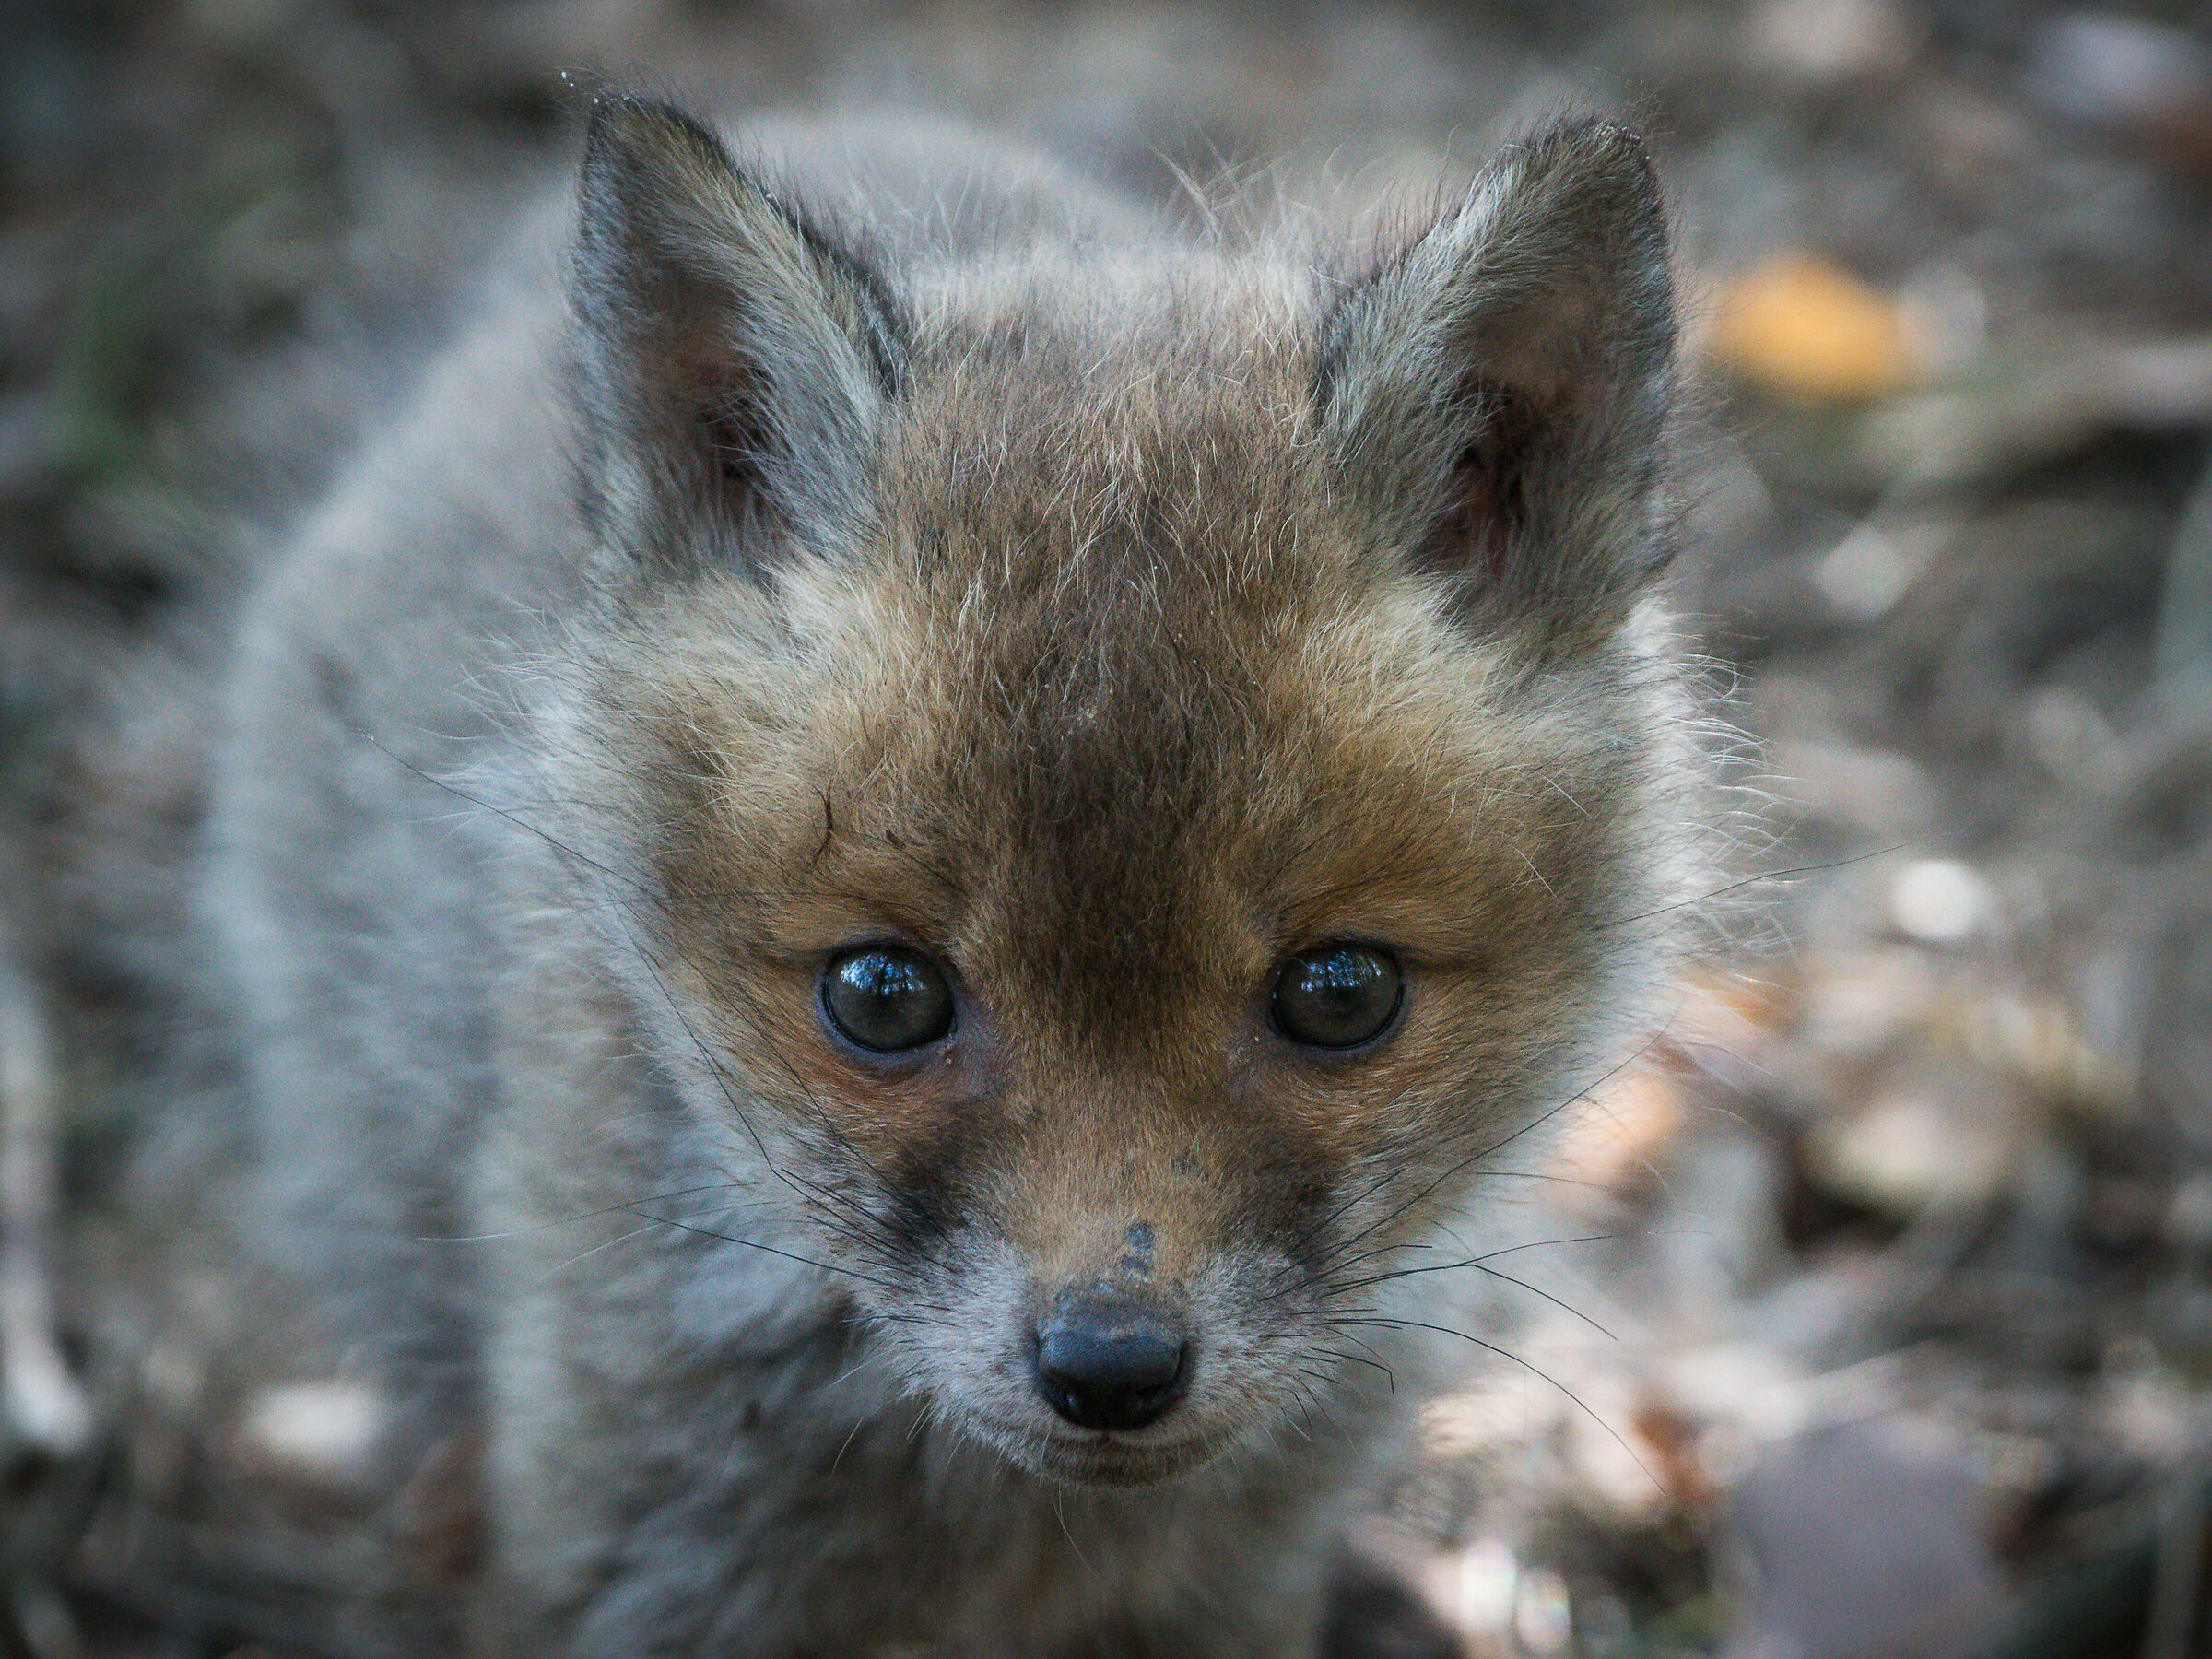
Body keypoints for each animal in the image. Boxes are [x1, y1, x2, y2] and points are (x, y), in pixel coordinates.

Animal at [186, 95, 1712, 1657]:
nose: (1110, 1367)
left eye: (1341, 994)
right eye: (881, 995)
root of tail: (845, 115)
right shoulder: (634, 1572)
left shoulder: (1224, 1593)